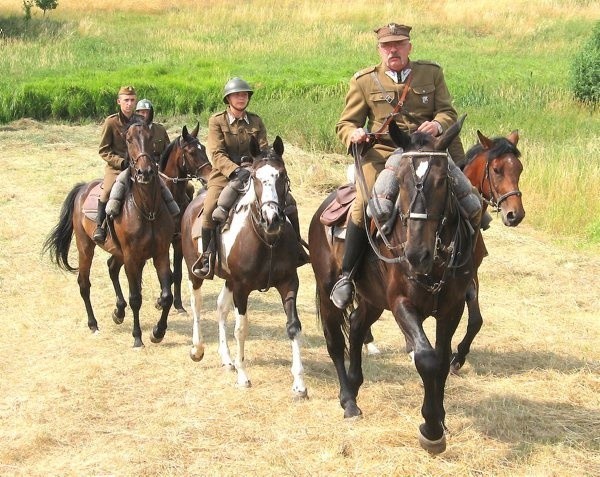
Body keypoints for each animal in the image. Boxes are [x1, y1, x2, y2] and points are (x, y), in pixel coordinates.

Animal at [43, 115, 175, 346]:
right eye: (128, 140)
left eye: (151, 138)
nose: (145, 172)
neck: (147, 209)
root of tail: (83, 188)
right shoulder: (131, 257)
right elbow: (136, 298)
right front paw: (137, 337)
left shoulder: (161, 254)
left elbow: (167, 296)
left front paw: (158, 332)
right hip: (86, 247)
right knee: (84, 283)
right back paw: (93, 324)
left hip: (118, 251)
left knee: (112, 267)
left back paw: (118, 312)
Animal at [158, 123, 212, 312]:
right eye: (191, 152)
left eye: (203, 148)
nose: (209, 176)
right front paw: (161, 301)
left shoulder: (178, 240)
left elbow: (178, 273)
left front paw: (178, 304)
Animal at [180, 136, 308, 396]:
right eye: (256, 178)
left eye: (282, 175)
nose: (272, 218)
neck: (267, 240)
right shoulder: (241, 287)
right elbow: (241, 329)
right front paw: (243, 376)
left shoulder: (289, 282)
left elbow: (293, 326)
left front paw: (299, 383)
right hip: (194, 271)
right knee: (197, 305)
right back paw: (197, 349)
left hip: (229, 279)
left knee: (220, 308)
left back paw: (226, 358)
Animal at [310, 119, 474, 454]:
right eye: (401, 181)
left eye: (443, 181)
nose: (416, 254)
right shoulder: (401, 304)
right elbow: (426, 358)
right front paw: (431, 429)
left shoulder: (452, 308)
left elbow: (441, 360)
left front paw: (440, 419)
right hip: (327, 292)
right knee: (335, 342)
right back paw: (348, 400)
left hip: (372, 300)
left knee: (357, 325)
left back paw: (355, 383)